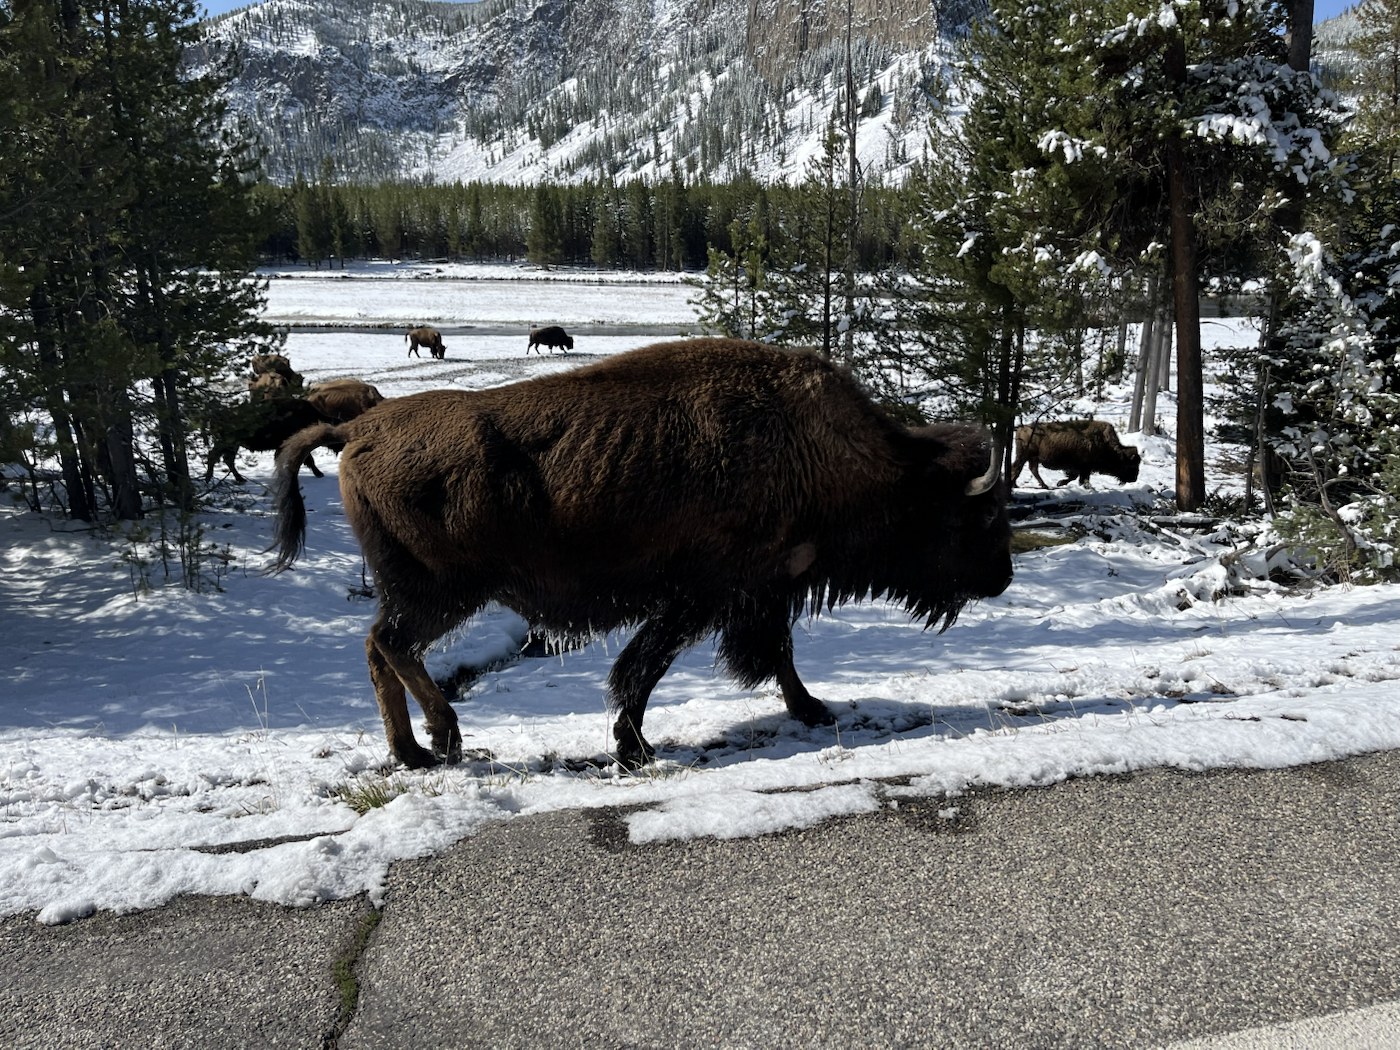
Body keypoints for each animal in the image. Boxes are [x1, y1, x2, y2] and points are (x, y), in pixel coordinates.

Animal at [271, 338, 1012, 770]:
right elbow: (646, 671)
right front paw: (635, 748)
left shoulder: (757, 596)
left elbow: (777, 659)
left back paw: (413, 753)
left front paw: (813, 710)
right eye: (977, 514)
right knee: (393, 646)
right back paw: (446, 739)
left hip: (418, 591)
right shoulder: (703, 600)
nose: (1003, 578)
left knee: (379, 651)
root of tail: (357, 430)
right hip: (443, 592)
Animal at [1012, 419, 1141, 488]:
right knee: (1018, 467)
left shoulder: (1081, 468)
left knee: (1032, 469)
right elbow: (1078, 477)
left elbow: (1075, 477)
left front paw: (1060, 483)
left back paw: (1043, 485)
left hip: (1032, 457)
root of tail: (1021, 428)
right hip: (1024, 455)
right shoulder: (1084, 467)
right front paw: (1062, 483)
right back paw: (1015, 484)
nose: (1134, 479)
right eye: (1131, 465)